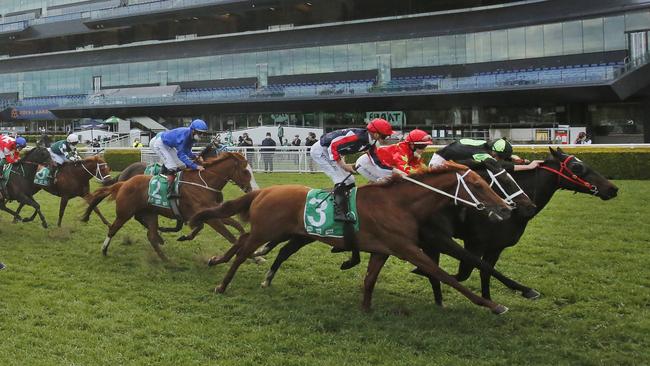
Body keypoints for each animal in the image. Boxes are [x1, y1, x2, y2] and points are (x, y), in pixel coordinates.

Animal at [84, 153, 256, 262]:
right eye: (245, 171)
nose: (254, 189)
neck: (203, 184)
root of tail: (124, 179)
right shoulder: (208, 218)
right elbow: (230, 236)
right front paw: (255, 256)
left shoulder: (210, 213)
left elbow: (238, 226)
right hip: (127, 211)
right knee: (117, 225)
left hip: (148, 211)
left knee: (149, 231)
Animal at [190, 163, 512, 314]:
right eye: (478, 185)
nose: (506, 209)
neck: (399, 204)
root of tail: (264, 191)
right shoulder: (407, 248)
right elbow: (443, 274)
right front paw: (494, 305)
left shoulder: (383, 250)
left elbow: (369, 279)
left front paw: (366, 307)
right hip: (265, 231)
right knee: (243, 250)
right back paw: (222, 284)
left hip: (283, 232)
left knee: (248, 243)